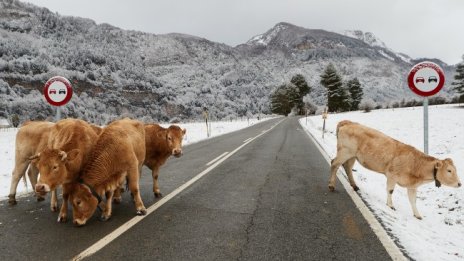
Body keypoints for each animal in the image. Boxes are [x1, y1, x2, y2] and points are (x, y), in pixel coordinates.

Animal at [330, 121, 460, 218]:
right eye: (449, 170)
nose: (459, 184)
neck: (416, 164)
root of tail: (348, 122)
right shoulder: (392, 175)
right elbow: (390, 190)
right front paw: (390, 205)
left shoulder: (412, 186)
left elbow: (413, 200)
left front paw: (417, 215)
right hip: (345, 152)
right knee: (334, 164)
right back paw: (331, 186)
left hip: (352, 156)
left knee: (347, 167)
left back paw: (354, 186)